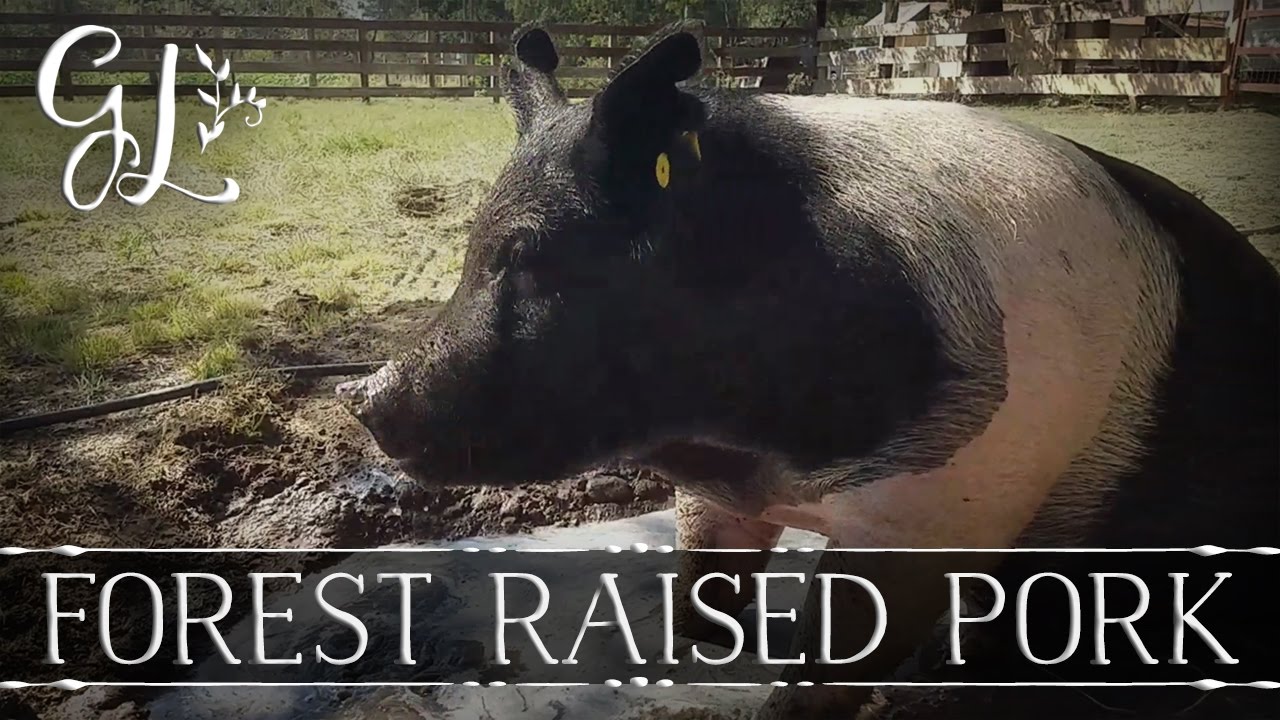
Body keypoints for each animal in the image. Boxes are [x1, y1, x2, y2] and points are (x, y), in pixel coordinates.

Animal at [337, 21, 1279, 719]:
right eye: (473, 248)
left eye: (531, 255)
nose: (364, 394)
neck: (759, 458)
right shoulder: (719, 495)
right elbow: (706, 580)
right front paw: (687, 647)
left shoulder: (936, 503)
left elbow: (831, 661)